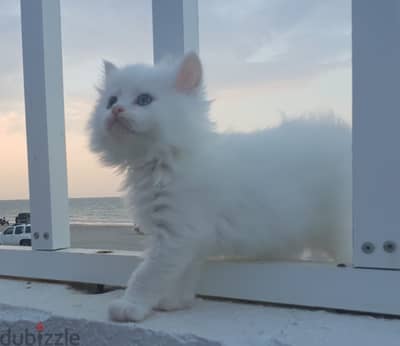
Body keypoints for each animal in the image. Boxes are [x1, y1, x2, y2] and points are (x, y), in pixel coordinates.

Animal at [89, 53, 352, 322]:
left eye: (144, 100)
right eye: (111, 101)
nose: (116, 110)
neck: (162, 162)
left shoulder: (176, 232)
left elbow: (146, 274)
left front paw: (131, 306)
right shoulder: (187, 239)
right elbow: (181, 274)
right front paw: (174, 302)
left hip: (339, 231)